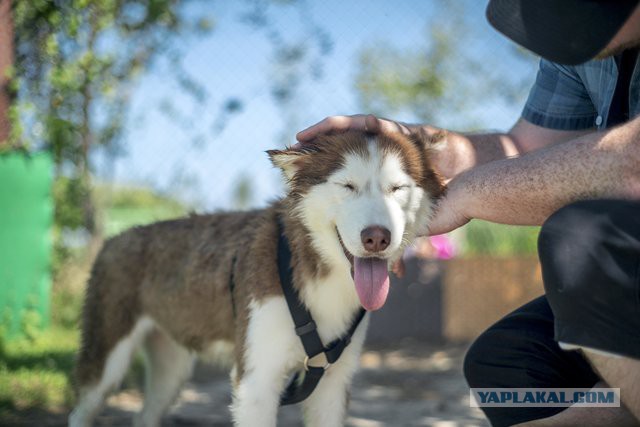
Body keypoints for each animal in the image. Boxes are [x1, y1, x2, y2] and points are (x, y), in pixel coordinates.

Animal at [66, 131, 444, 427]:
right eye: (347, 186)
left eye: (397, 188)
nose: (377, 238)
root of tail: (115, 238)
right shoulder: (256, 382)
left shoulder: (333, 384)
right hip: (106, 358)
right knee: (80, 411)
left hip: (171, 366)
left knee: (145, 415)